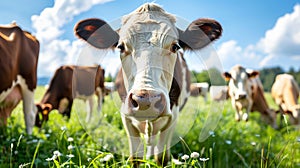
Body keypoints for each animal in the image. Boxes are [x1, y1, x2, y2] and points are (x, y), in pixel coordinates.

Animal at [74, 2, 221, 165]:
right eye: (121, 47)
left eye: (175, 46)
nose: (145, 100)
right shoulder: (126, 117)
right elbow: (136, 158)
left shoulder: (172, 117)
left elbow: (162, 157)